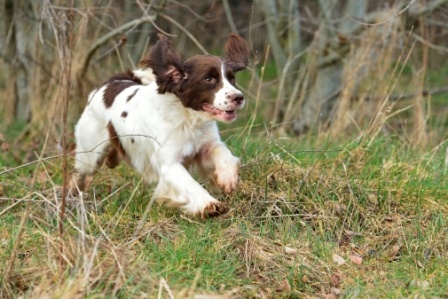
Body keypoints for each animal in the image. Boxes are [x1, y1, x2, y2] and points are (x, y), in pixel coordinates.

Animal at [72, 33, 250, 218]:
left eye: (231, 78)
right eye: (209, 78)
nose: (238, 97)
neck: (187, 118)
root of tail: (109, 82)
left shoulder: (207, 144)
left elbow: (222, 152)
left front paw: (228, 179)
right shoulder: (169, 164)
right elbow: (190, 184)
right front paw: (209, 204)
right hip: (91, 155)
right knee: (79, 174)